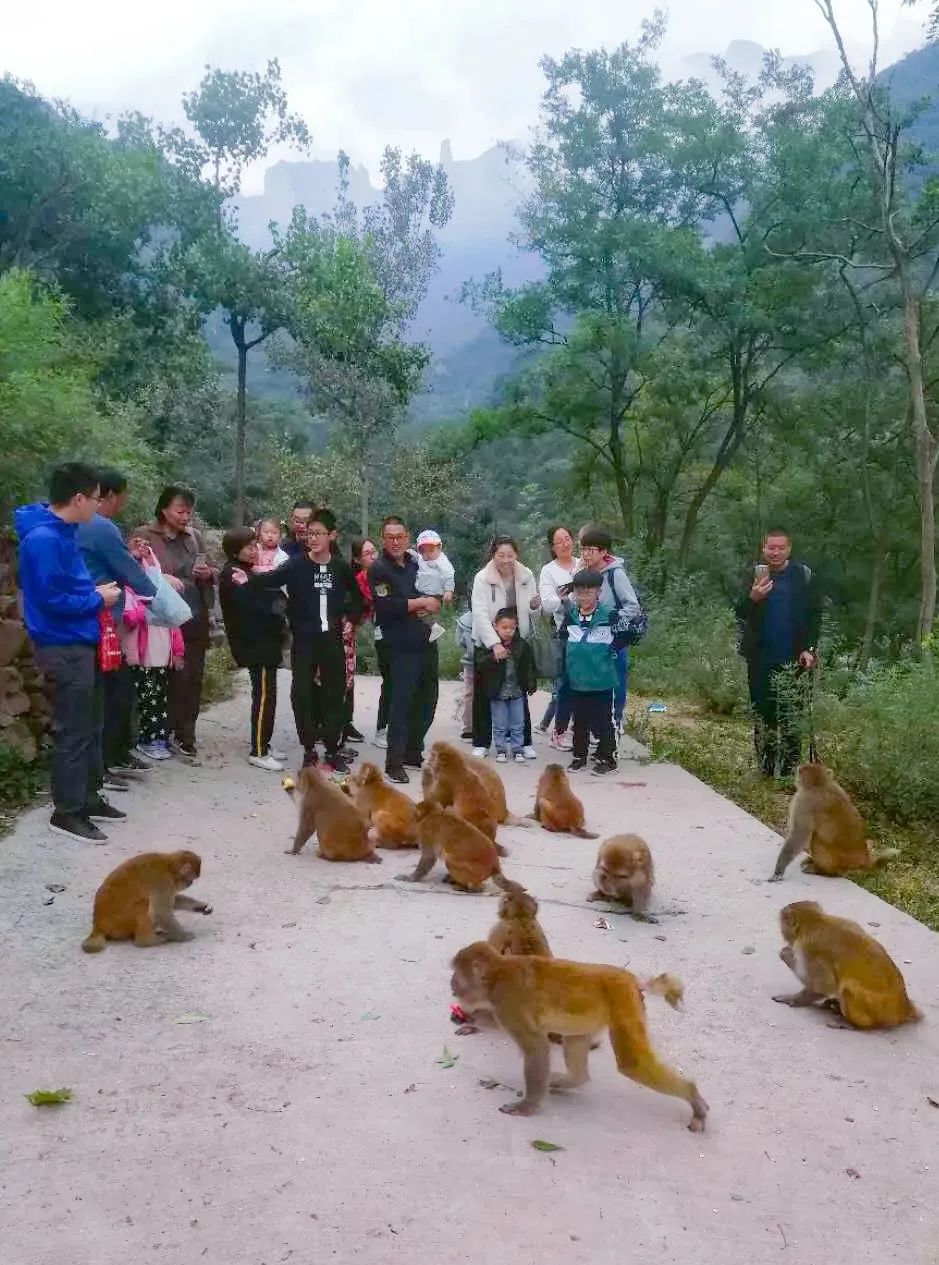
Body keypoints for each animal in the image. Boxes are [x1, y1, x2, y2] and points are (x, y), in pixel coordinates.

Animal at [81, 850, 211, 951]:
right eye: (191, 878)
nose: (191, 883)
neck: (169, 867)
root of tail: (98, 925)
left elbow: (173, 902)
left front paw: (199, 906)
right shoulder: (163, 881)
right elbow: (161, 911)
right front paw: (183, 936)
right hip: (120, 924)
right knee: (144, 904)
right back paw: (149, 941)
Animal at [447, 946, 708, 1133]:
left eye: (457, 974)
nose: (451, 984)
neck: (495, 976)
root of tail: (632, 978)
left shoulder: (507, 1001)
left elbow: (536, 1046)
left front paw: (527, 1106)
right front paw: (471, 1020)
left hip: (623, 1000)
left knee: (632, 1063)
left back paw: (693, 1096)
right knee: (575, 1040)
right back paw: (572, 1080)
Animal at [774, 900, 921, 1027]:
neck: (817, 921)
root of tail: (904, 1009)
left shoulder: (809, 949)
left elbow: (824, 986)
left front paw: (794, 998)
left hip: (877, 1011)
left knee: (847, 987)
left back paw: (852, 1024)